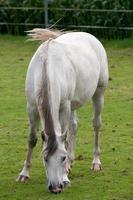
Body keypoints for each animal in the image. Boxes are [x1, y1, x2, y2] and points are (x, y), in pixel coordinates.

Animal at [16, 28, 108, 193]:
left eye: (62, 157)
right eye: (45, 158)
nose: (55, 188)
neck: (47, 66)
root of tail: (89, 36)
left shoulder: (64, 106)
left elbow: (63, 140)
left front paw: (65, 177)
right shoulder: (31, 107)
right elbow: (32, 139)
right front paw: (24, 174)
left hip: (98, 93)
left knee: (96, 125)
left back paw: (96, 162)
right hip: (72, 104)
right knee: (74, 127)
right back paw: (70, 165)